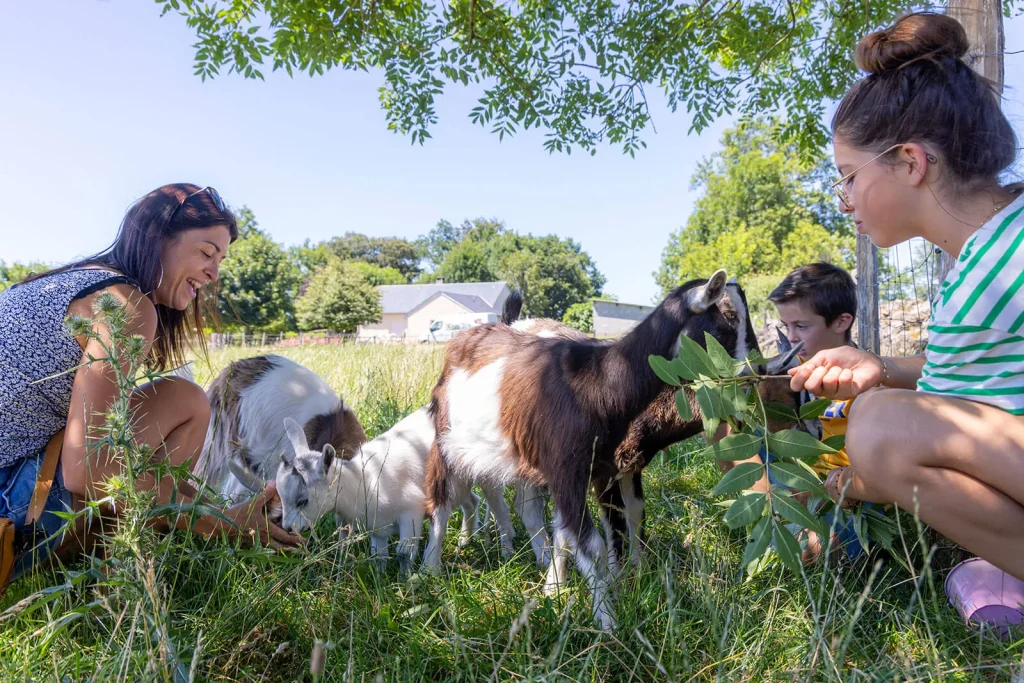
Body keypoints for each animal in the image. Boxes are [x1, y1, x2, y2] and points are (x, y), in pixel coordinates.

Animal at [419, 270, 749, 626]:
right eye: (728, 317)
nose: (748, 376)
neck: (596, 384)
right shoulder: (569, 469)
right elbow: (593, 544)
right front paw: (607, 621)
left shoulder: (598, 468)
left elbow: (583, 528)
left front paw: (556, 592)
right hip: (446, 438)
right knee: (440, 501)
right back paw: (428, 572)